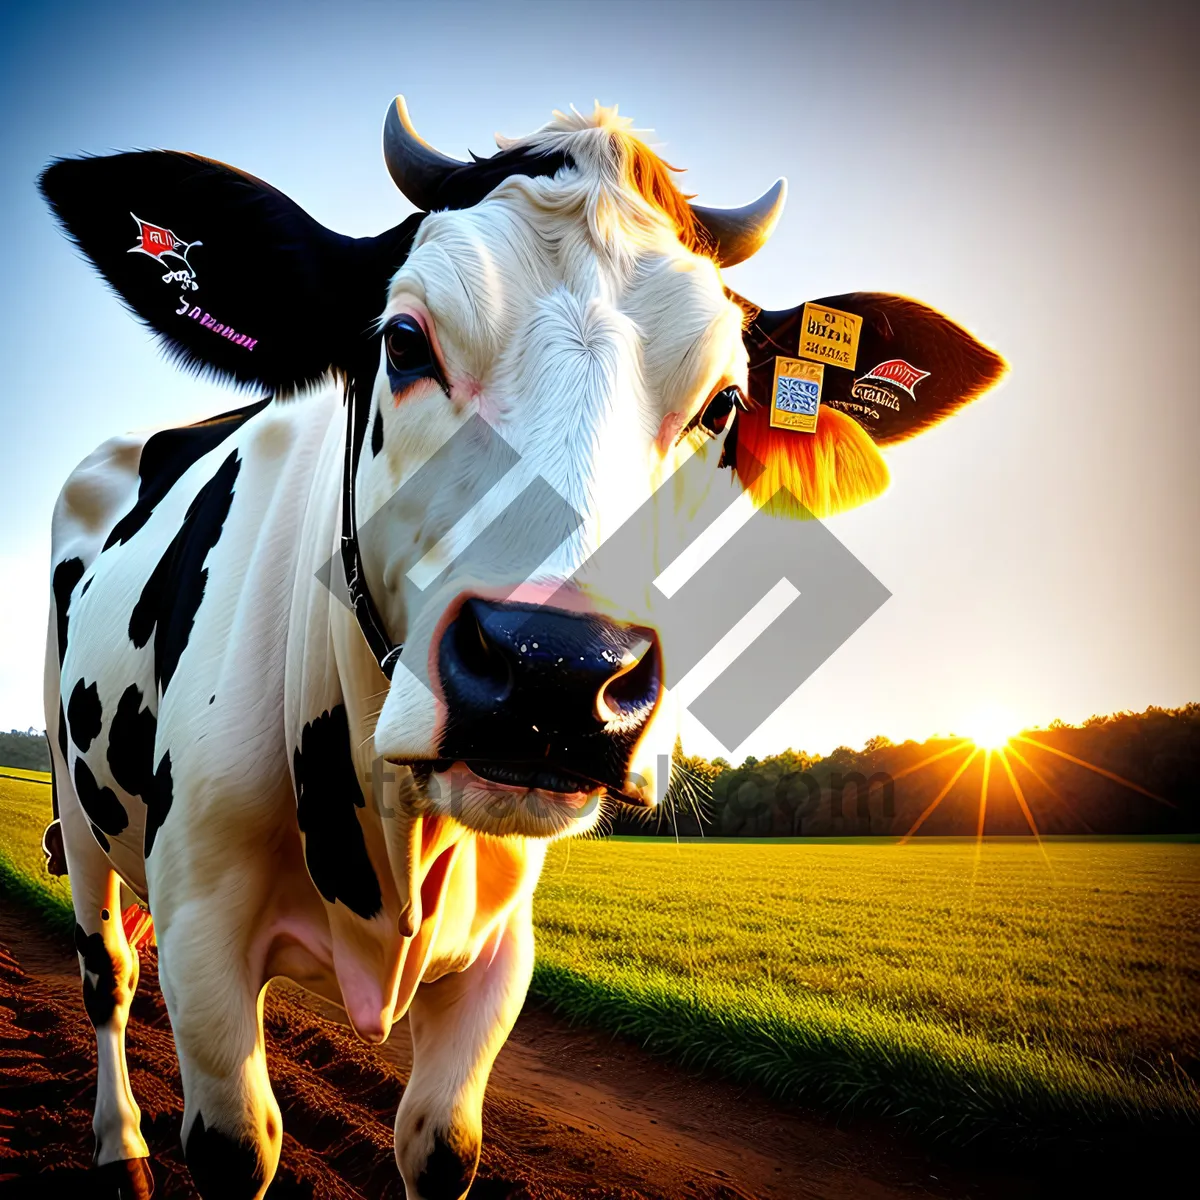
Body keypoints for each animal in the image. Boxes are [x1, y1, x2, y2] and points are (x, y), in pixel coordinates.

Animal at [35, 96, 1003, 1200]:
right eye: (404, 341)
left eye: (721, 403)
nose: (557, 672)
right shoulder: (203, 934)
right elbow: (242, 1144)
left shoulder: (501, 959)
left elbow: (439, 1146)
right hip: (76, 796)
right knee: (107, 974)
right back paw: (120, 1147)